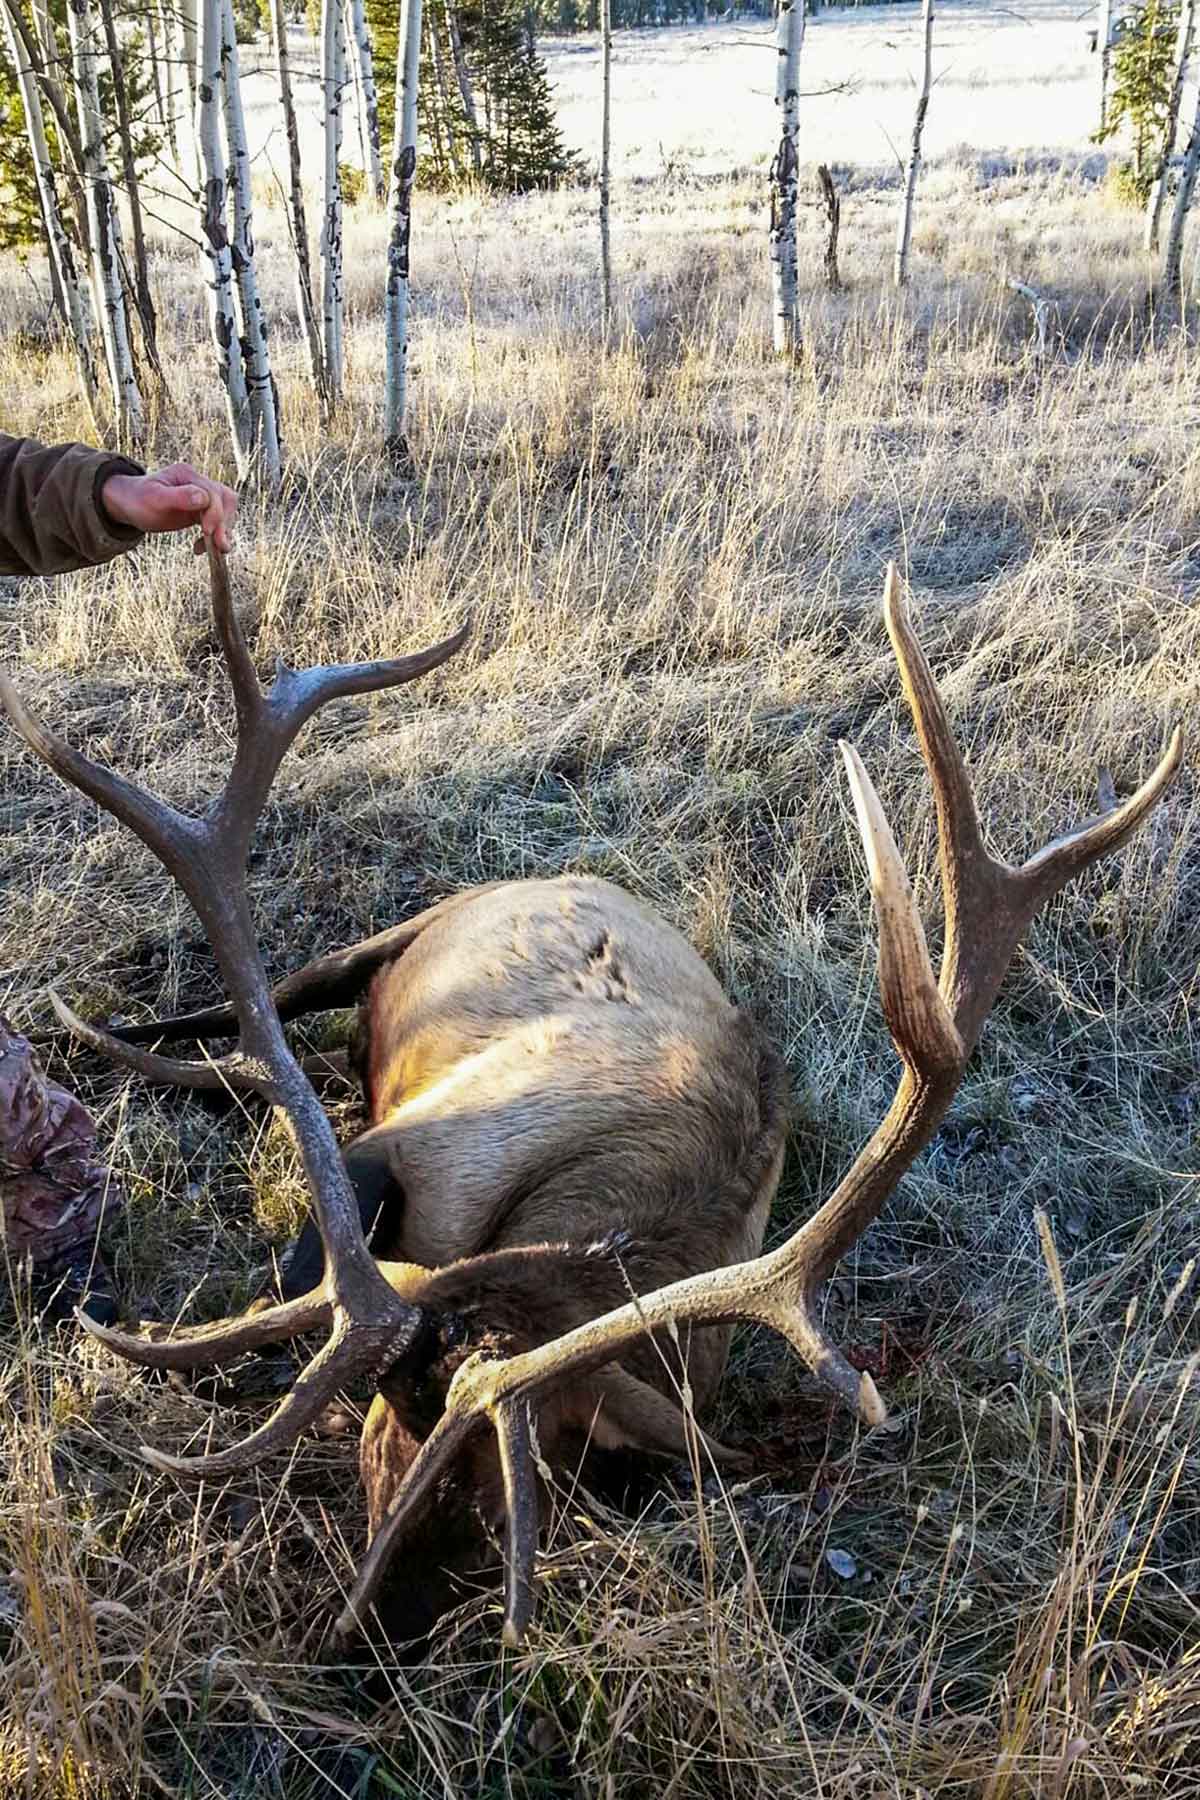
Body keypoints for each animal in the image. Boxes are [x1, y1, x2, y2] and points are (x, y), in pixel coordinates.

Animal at [0, 548, 1181, 1653]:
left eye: (517, 1496)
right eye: (388, 1433)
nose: (362, 1638)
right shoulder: (413, 1148)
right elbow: (298, 1269)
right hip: (390, 940)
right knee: (266, 1006)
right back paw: (86, 1031)